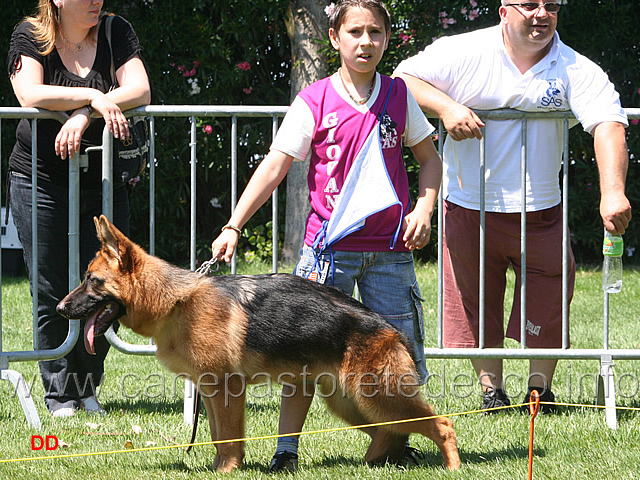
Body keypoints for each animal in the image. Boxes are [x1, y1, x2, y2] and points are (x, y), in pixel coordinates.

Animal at [56, 216, 460, 470]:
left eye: (92, 281)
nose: (59, 309)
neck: (175, 301)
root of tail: (391, 329)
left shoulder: (225, 390)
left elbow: (229, 437)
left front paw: (227, 471)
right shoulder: (210, 391)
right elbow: (217, 436)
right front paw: (219, 468)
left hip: (377, 397)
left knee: (441, 424)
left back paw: (451, 465)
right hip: (351, 403)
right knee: (390, 432)